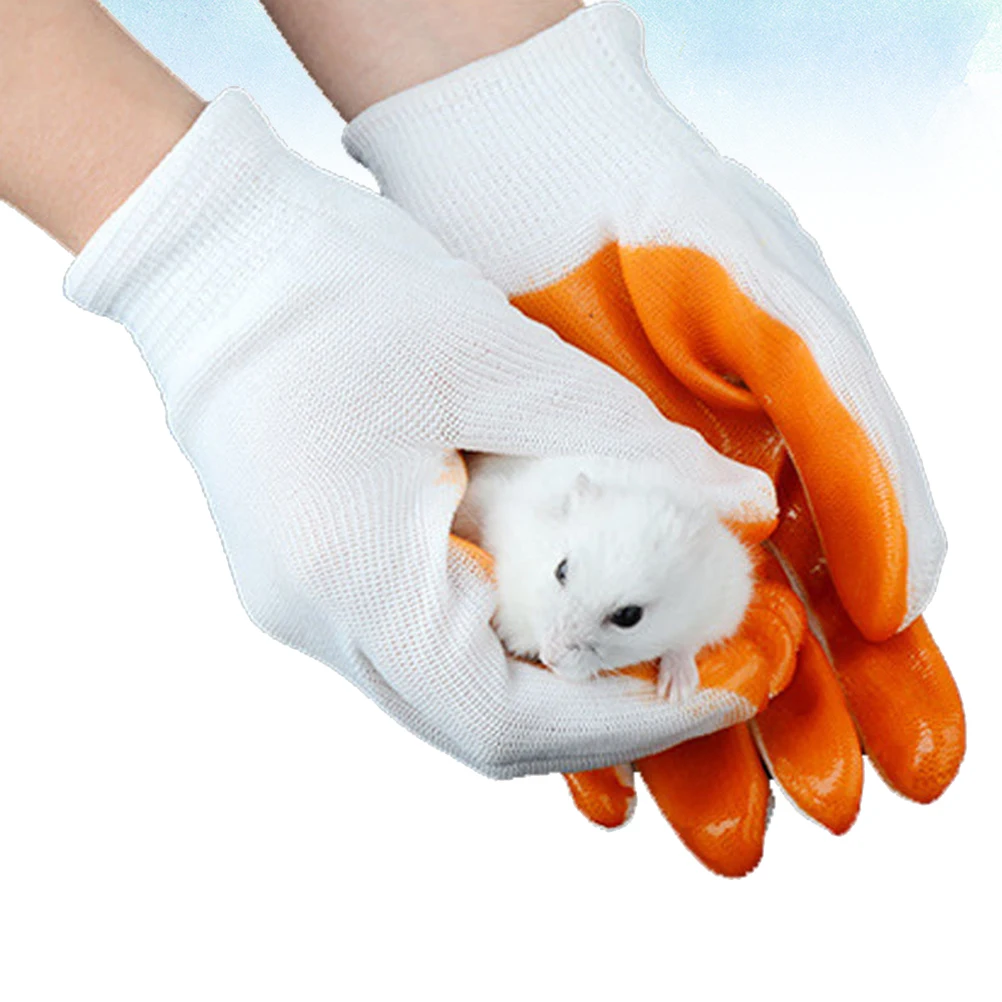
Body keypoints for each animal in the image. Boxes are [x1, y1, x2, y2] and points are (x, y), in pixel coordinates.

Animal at [453, 453, 754, 703]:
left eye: (629, 616)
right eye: (561, 570)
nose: (548, 658)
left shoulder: (724, 602)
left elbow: (685, 644)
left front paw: (675, 694)